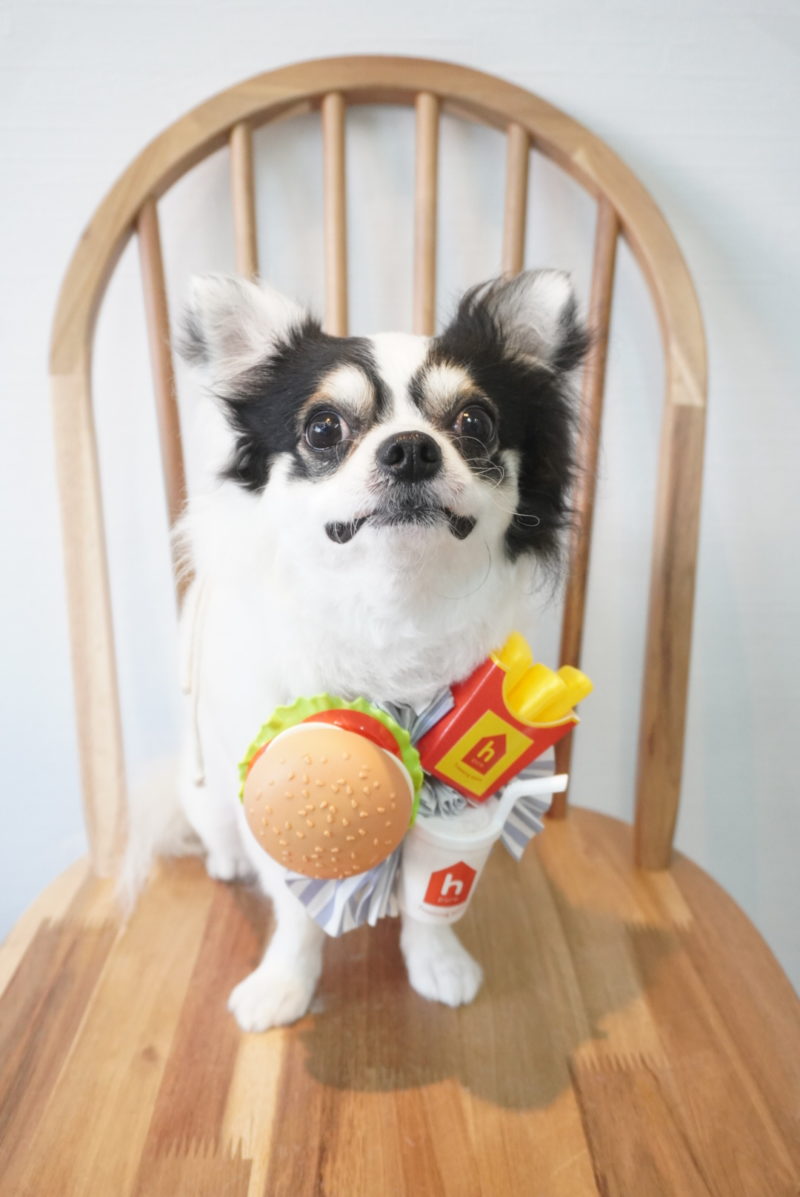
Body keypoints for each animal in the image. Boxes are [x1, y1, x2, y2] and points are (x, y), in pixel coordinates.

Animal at [171, 269, 587, 1031]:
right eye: (324, 427)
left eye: (475, 423)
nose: (411, 447)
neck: (394, 600)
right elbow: (295, 904)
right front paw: (285, 983)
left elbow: (433, 893)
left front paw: (437, 961)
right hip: (207, 785)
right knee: (216, 828)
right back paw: (225, 860)